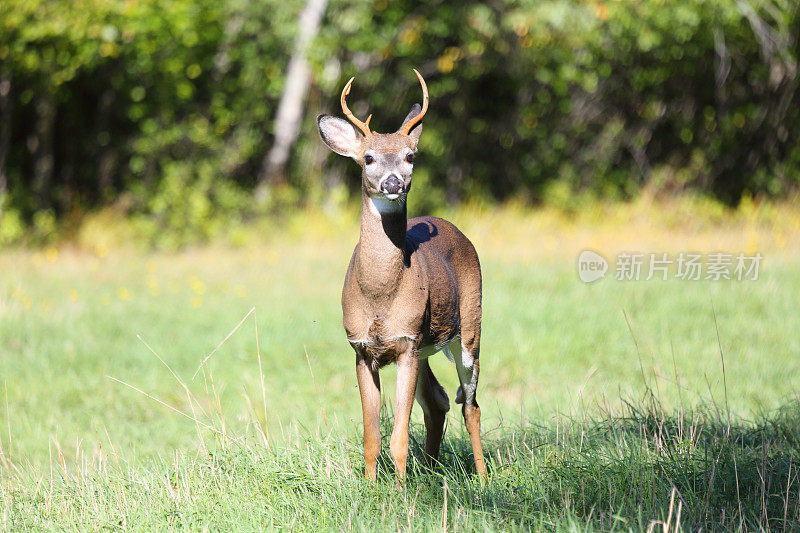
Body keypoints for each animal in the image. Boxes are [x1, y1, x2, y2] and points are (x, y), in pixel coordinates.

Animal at [316, 68, 484, 480]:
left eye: (410, 156)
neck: (380, 295)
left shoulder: (407, 342)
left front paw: (399, 489)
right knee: (439, 400)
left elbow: (399, 438)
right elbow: (372, 436)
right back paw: (433, 471)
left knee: (470, 404)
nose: (393, 182)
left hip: (469, 328)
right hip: (427, 346)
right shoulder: (362, 349)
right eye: (368, 157)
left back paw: (484, 476)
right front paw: (371, 486)